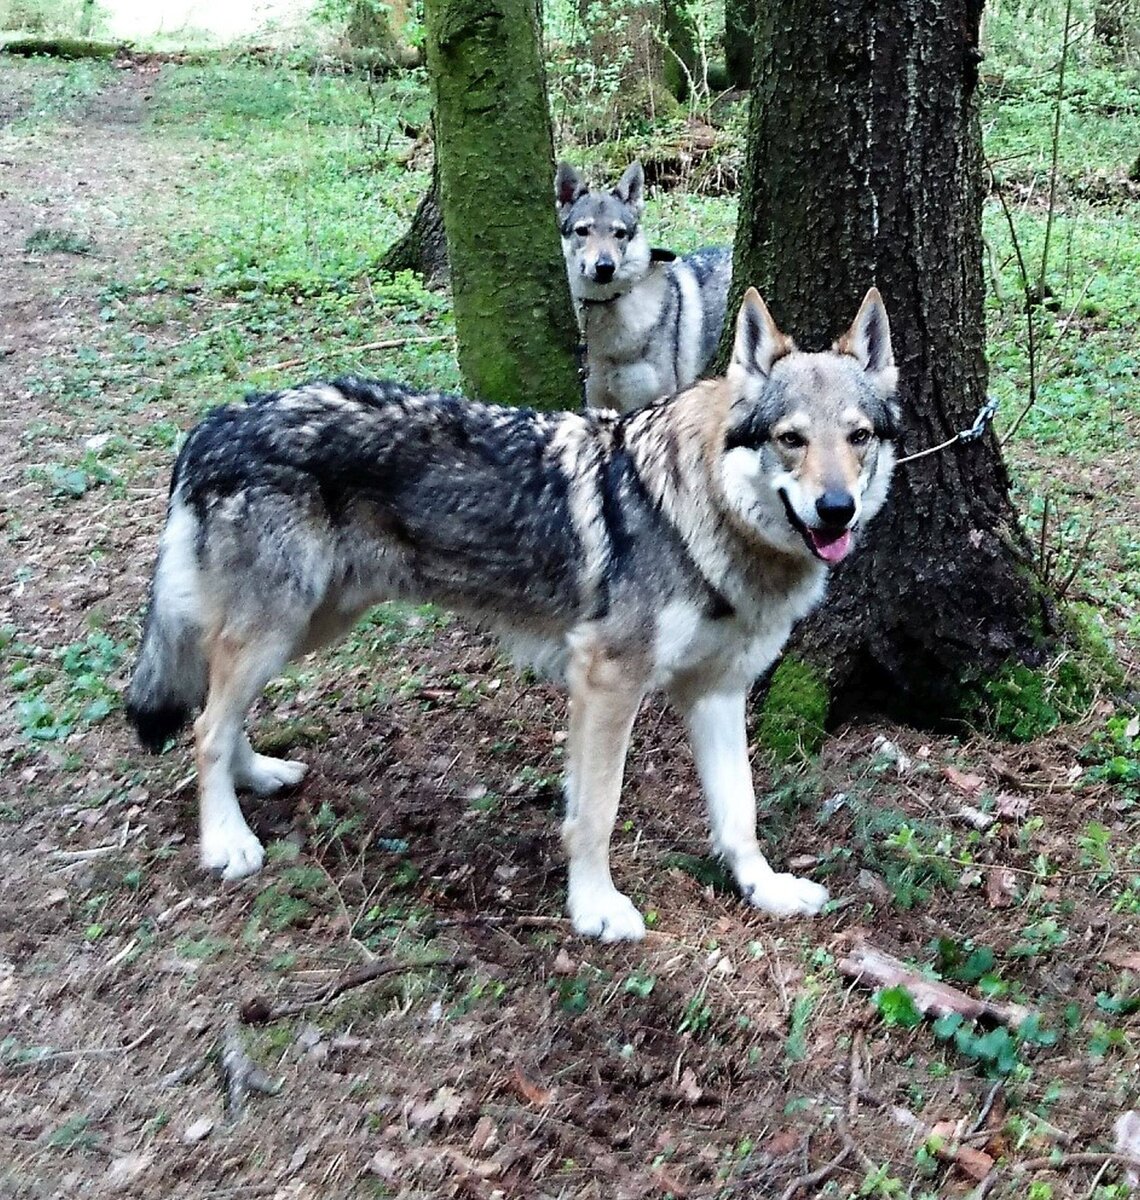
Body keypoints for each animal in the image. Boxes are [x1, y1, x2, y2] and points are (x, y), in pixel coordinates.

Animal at [127, 288, 902, 936]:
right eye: (790, 439)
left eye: (858, 437)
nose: (837, 509)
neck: (695, 507)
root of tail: (215, 422)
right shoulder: (606, 682)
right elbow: (596, 813)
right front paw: (595, 909)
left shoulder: (716, 692)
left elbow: (739, 813)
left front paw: (766, 889)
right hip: (279, 626)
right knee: (203, 727)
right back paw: (227, 840)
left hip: (307, 625)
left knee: (217, 711)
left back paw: (257, 776)